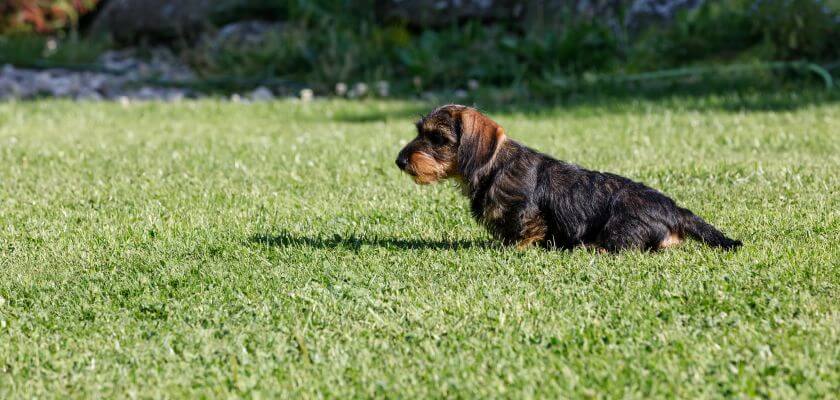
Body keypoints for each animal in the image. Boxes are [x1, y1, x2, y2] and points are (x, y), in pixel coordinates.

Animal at [398, 104, 744, 252]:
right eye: (419, 131)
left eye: (438, 138)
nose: (400, 161)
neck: (495, 166)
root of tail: (675, 209)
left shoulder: (526, 213)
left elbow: (525, 232)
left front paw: (515, 249)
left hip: (621, 226)